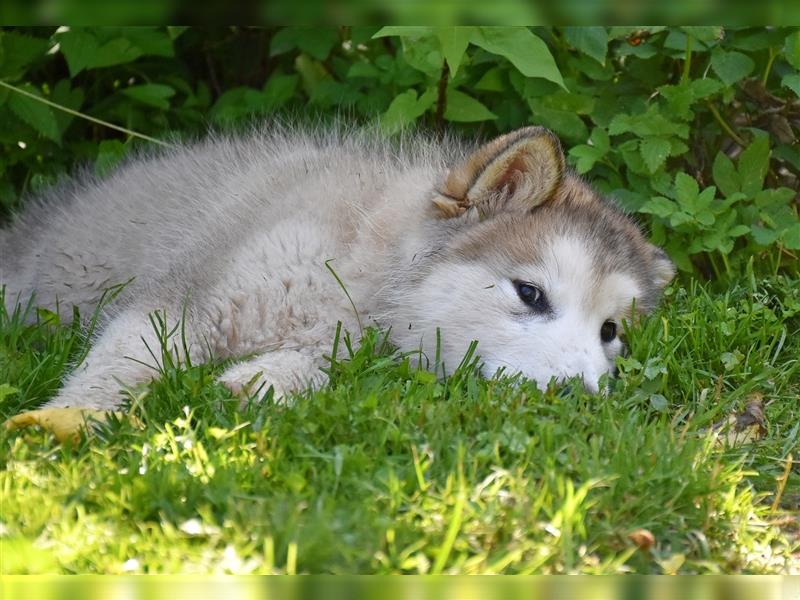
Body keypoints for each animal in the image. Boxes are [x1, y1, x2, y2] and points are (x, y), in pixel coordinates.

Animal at [0, 126, 676, 408]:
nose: (586, 396)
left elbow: (312, 369)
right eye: (531, 294)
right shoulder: (186, 299)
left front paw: (261, 381)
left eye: (610, 332)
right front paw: (61, 421)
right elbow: (119, 364)